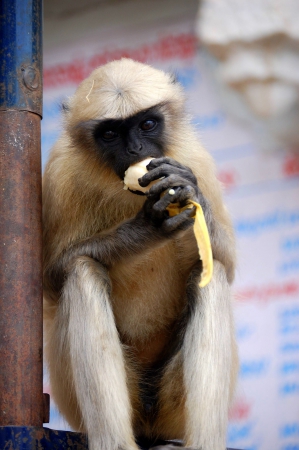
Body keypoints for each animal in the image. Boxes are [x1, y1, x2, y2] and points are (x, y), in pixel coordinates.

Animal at [42, 58, 239, 450]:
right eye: (110, 134)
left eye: (147, 124)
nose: (135, 151)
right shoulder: (58, 172)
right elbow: (52, 277)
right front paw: (146, 228)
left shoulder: (193, 157)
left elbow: (227, 260)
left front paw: (186, 191)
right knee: (82, 270)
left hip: (171, 407)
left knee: (210, 272)